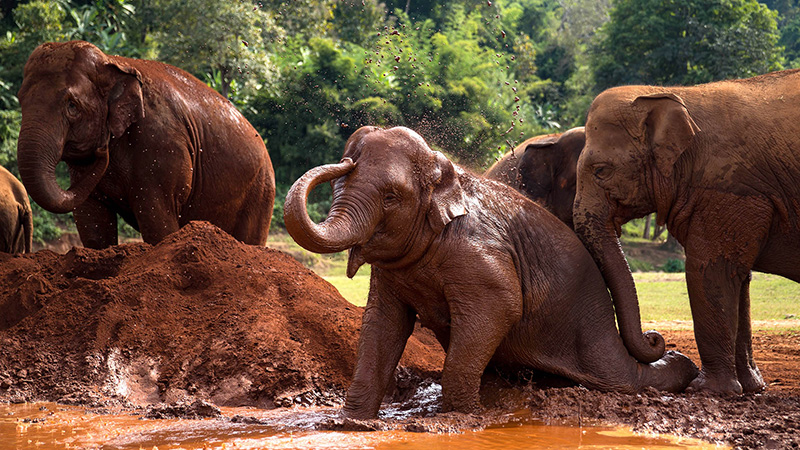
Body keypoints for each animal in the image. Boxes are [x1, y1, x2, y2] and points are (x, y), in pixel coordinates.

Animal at [16, 41, 275, 249]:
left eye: (72, 106)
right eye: (20, 100)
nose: (102, 148)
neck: (113, 62)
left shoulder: (160, 143)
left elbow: (157, 221)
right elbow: (92, 224)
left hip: (260, 192)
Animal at [284, 126, 698, 419]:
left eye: (390, 197)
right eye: (338, 183)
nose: (345, 158)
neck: (444, 176)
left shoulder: (477, 252)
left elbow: (500, 305)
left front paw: (463, 418)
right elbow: (382, 322)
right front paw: (350, 423)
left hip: (590, 336)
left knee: (623, 379)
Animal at [573, 69, 800, 395]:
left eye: (601, 170)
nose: (656, 339)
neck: (671, 93)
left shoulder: (728, 190)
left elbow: (709, 270)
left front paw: (707, 390)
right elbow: (738, 277)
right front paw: (750, 388)